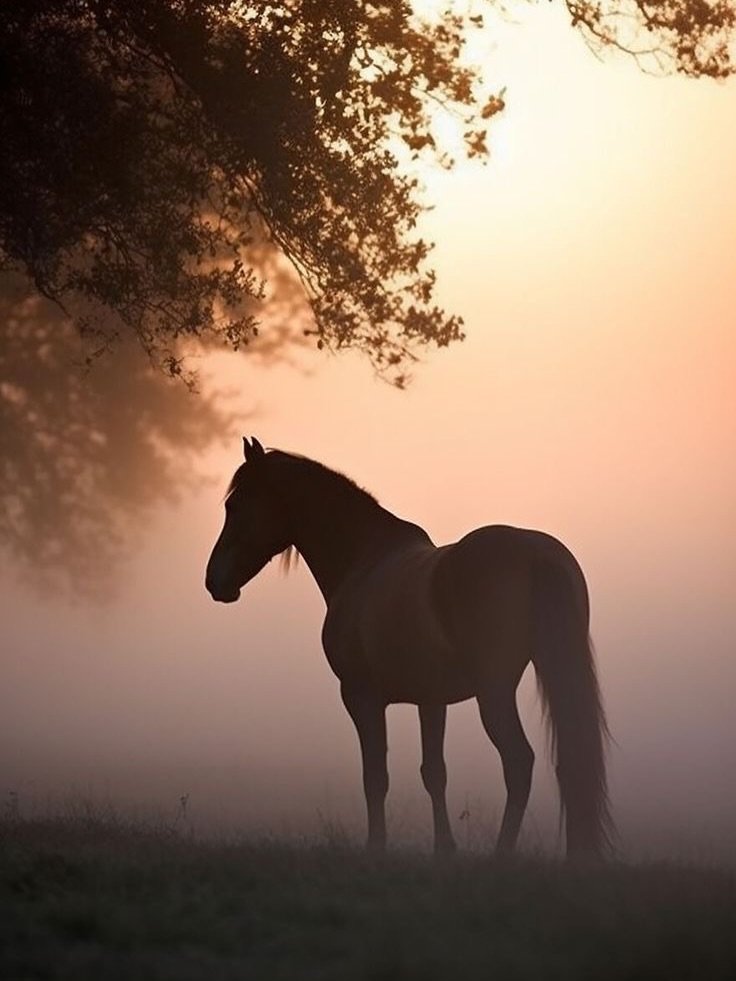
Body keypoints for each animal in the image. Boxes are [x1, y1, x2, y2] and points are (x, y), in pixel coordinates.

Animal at [205, 437, 612, 859]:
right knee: (569, 761)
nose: (214, 581)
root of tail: (534, 554)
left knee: (518, 762)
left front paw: (376, 847)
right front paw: (444, 848)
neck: (363, 562)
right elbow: (434, 773)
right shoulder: (430, 700)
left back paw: (502, 854)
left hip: (494, 692)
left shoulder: (361, 697)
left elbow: (375, 778)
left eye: (235, 506)